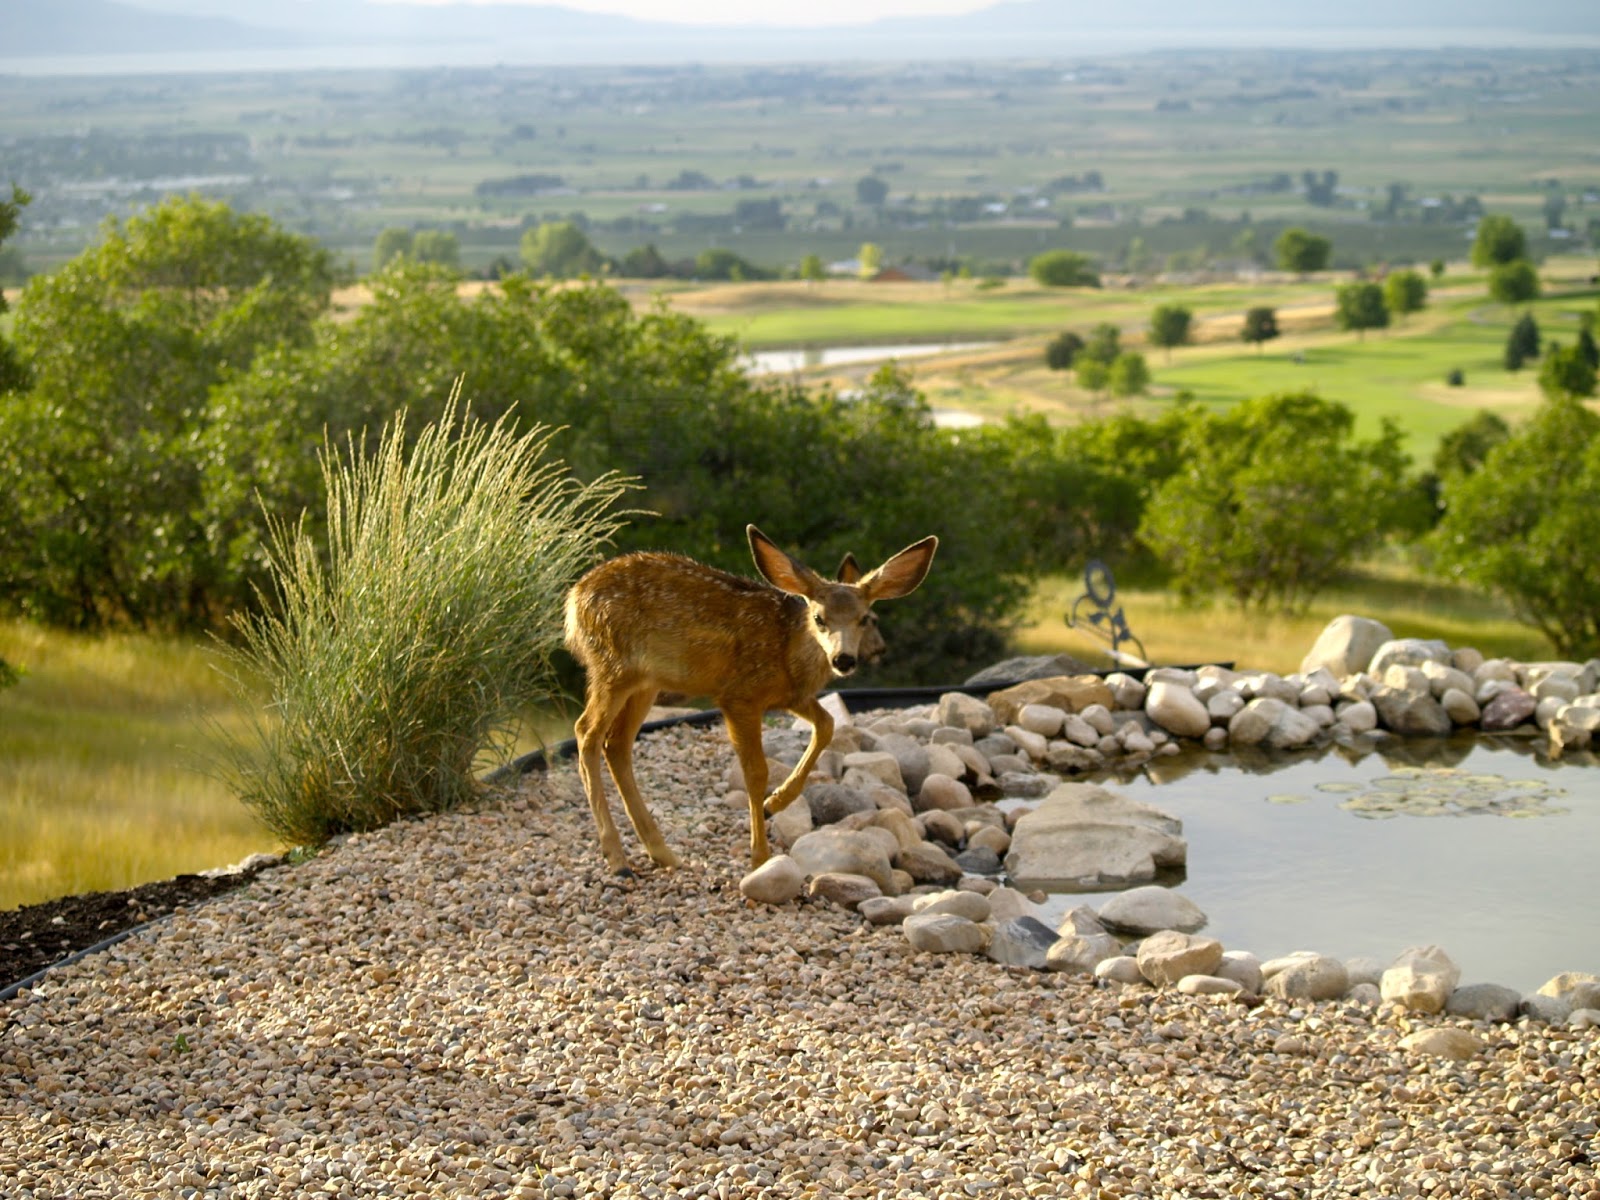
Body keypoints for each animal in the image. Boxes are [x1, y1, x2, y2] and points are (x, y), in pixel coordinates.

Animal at [563, 525, 938, 874]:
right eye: (819, 618)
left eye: (864, 618)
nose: (843, 659)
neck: (788, 650)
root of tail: (574, 598)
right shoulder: (739, 694)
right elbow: (756, 771)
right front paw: (760, 857)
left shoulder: (791, 695)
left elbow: (828, 724)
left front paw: (777, 802)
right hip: (613, 665)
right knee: (586, 732)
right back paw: (618, 859)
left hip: (647, 681)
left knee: (617, 743)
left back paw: (664, 854)